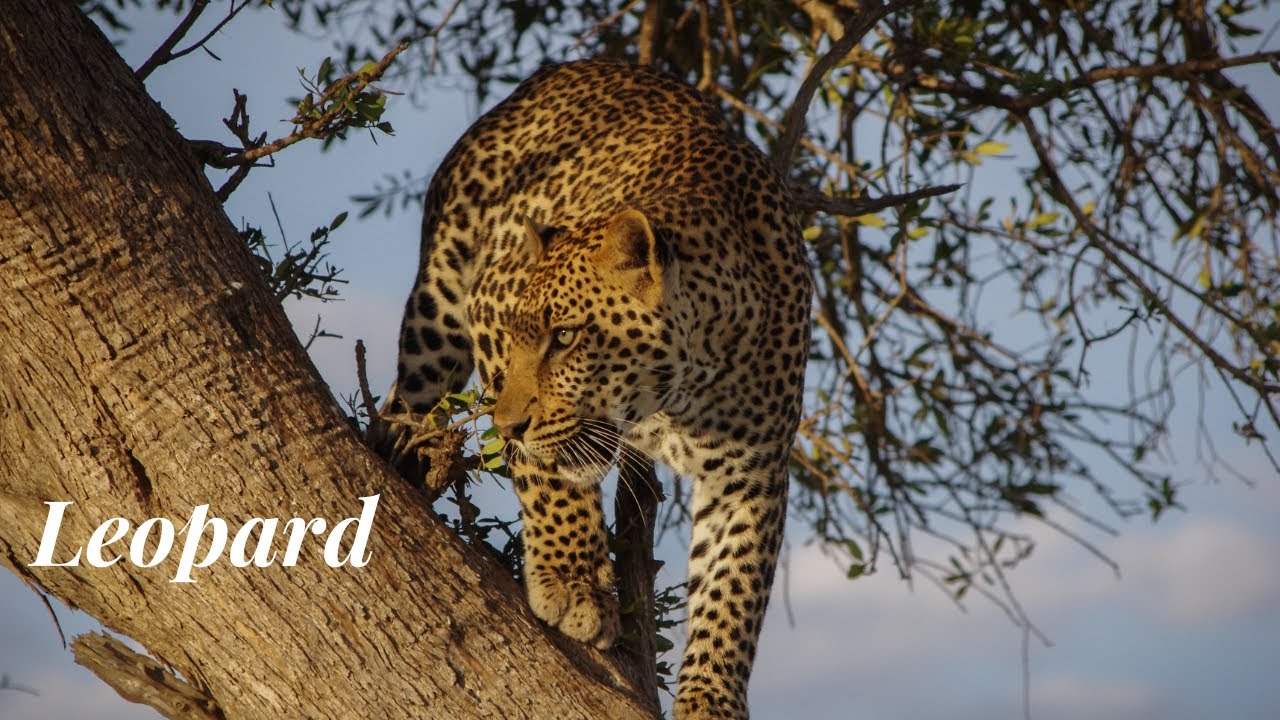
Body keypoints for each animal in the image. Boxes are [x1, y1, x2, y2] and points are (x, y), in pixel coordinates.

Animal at [391, 59, 811, 719]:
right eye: (522, 335)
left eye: (565, 337)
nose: (506, 426)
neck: (681, 392)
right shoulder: (489, 307)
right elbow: (548, 475)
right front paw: (573, 583)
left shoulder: (753, 469)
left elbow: (735, 584)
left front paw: (712, 698)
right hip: (437, 312)